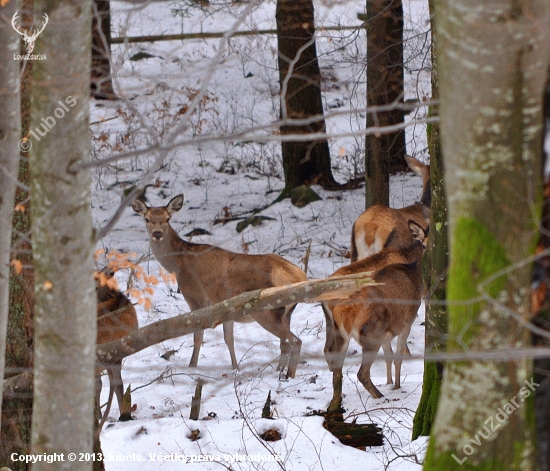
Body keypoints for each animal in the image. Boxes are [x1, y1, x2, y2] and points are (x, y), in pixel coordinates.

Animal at [132, 195, 308, 380]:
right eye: (147, 219)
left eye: (167, 218)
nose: (157, 234)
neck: (178, 264)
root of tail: (299, 276)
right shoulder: (225, 306)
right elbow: (228, 338)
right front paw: (235, 367)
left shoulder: (195, 296)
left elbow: (198, 336)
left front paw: (192, 366)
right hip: (285, 314)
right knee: (285, 343)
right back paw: (278, 371)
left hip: (266, 311)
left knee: (295, 341)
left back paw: (289, 374)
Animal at [326, 220, 430, 410]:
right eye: (424, 244)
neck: (415, 280)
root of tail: (344, 311)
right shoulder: (407, 321)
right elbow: (398, 357)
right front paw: (396, 386)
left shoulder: (388, 331)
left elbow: (389, 356)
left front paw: (390, 383)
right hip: (370, 334)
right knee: (362, 373)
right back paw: (380, 397)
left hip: (342, 334)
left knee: (337, 370)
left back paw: (335, 403)